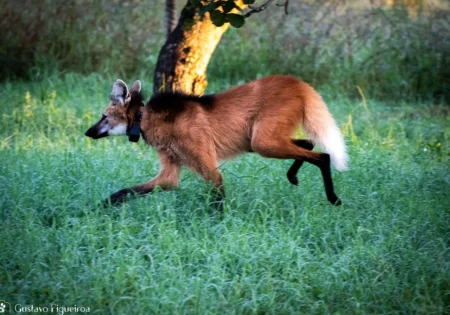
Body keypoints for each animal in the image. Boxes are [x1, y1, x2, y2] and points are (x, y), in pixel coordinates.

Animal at [86, 76, 350, 210]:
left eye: (103, 117)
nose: (88, 132)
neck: (146, 118)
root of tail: (298, 83)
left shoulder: (208, 166)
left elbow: (216, 198)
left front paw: (217, 231)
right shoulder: (170, 170)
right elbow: (125, 191)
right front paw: (98, 208)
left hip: (262, 142)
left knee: (323, 155)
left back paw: (333, 198)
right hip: (263, 140)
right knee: (308, 143)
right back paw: (293, 176)